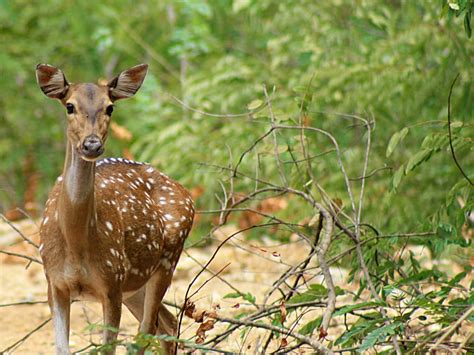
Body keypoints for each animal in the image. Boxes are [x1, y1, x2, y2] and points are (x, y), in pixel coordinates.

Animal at [36, 64, 193, 355]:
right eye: (69, 105)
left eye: (109, 107)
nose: (92, 145)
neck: (76, 245)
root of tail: (185, 192)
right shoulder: (54, 282)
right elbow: (61, 348)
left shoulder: (111, 282)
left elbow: (109, 347)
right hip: (134, 283)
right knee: (167, 322)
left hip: (167, 259)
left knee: (147, 329)